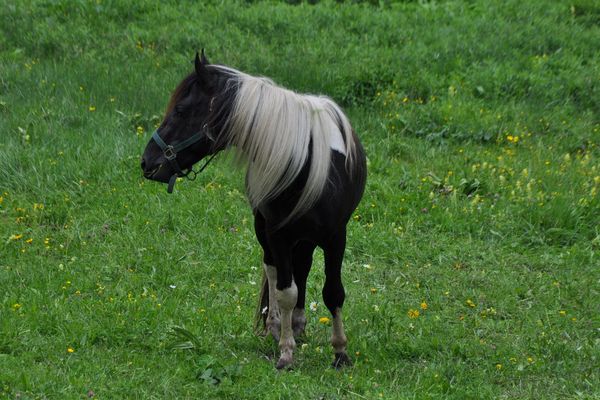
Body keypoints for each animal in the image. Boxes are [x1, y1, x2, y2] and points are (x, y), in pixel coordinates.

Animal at [141, 50, 366, 368]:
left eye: (182, 110)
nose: (147, 162)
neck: (305, 163)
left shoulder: (336, 236)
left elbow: (333, 292)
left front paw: (340, 351)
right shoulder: (277, 233)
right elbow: (285, 291)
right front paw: (286, 349)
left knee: (303, 267)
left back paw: (298, 324)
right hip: (268, 231)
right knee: (274, 269)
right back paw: (279, 325)